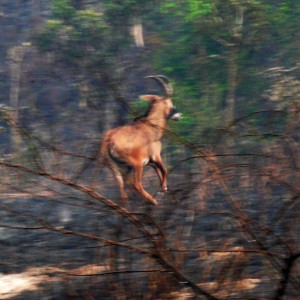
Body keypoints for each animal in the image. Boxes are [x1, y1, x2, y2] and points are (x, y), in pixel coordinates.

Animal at [100, 76, 180, 205]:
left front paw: (163, 188)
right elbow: (165, 170)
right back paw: (152, 201)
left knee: (122, 190)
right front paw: (161, 191)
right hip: (136, 165)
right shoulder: (156, 156)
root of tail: (109, 142)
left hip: (116, 168)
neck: (150, 125)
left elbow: (160, 172)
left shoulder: (150, 161)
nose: (178, 115)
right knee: (136, 184)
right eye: (172, 103)